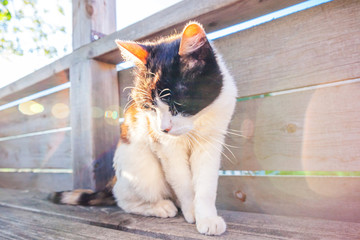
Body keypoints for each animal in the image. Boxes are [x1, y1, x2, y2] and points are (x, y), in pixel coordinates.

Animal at [48, 21, 239, 235]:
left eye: (176, 104)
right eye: (149, 107)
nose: (163, 129)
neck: (195, 124)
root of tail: (114, 180)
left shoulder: (211, 140)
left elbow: (206, 184)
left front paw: (206, 217)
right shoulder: (165, 147)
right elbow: (182, 181)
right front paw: (191, 211)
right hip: (140, 167)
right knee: (123, 199)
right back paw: (161, 206)